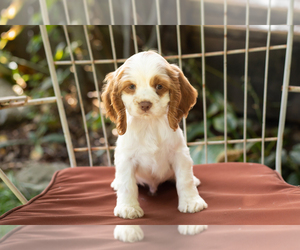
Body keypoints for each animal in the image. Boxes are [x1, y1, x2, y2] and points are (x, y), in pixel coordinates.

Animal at [102, 50, 207, 219]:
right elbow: (127, 184)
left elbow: (185, 179)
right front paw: (128, 208)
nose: (145, 104)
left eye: (159, 86)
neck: (149, 124)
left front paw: (191, 202)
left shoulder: (180, 154)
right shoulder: (125, 158)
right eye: (131, 86)